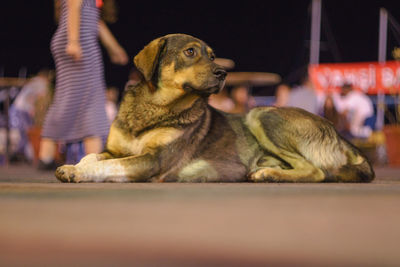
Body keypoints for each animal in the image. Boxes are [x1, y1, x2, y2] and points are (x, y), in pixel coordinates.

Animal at [55, 33, 376, 184]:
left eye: (212, 55)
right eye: (190, 52)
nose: (223, 73)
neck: (155, 107)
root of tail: (339, 135)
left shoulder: (154, 160)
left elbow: (107, 166)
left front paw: (76, 172)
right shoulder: (115, 149)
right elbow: (92, 155)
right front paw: (77, 166)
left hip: (261, 113)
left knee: (317, 171)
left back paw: (268, 175)